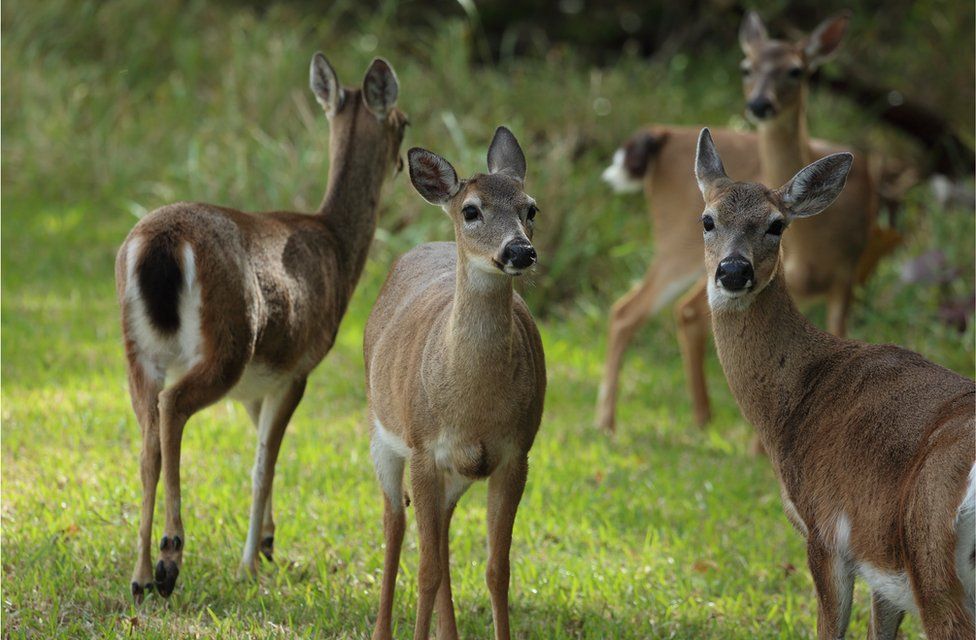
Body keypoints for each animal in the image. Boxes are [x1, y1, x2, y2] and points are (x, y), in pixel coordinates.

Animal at [114, 52, 404, 604]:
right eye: (405, 122)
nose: (404, 161)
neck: (338, 246)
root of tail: (161, 243)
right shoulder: (299, 367)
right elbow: (263, 464)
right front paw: (249, 563)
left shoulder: (256, 386)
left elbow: (260, 449)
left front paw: (268, 540)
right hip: (229, 340)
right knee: (172, 410)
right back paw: (169, 557)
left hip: (139, 353)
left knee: (147, 444)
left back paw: (139, 575)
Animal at [362, 126, 544, 640]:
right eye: (471, 210)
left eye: (530, 208)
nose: (519, 251)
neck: (473, 406)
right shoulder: (423, 448)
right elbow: (425, 569)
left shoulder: (515, 453)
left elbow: (497, 570)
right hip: (381, 433)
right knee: (394, 522)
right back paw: (382, 629)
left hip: (460, 471)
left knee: (441, 530)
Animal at [596, 10, 892, 432]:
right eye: (746, 66)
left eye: (796, 70)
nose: (759, 104)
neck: (816, 245)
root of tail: (664, 134)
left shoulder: (847, 275)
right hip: (675, 246)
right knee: (631, 310)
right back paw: (610, 421)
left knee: (666, 310)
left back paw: (696, 419)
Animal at [692, 126, 976, 640]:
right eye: (708, 219)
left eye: (776, 225)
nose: (734, 270)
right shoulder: (882, 564)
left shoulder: (825, 529)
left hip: (933, 561)